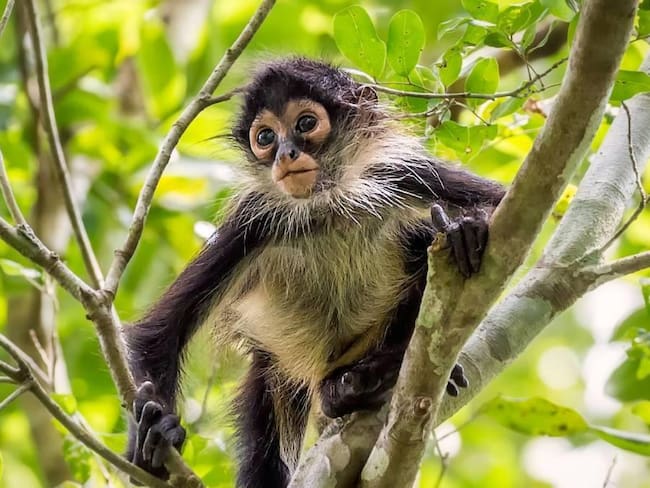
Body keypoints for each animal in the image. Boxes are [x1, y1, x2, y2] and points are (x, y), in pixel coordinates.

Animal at [124, 58, 505, 488]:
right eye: (266, 137)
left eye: (306, 124)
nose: (285, 153)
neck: (327, 207)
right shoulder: (253, 223)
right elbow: (159, 331)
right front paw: (154, 439)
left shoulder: (401, 173)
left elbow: (504, 204)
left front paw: (466, 227)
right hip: (275, 367)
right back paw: (348, 391)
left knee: (420, 238)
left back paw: (372, 375)